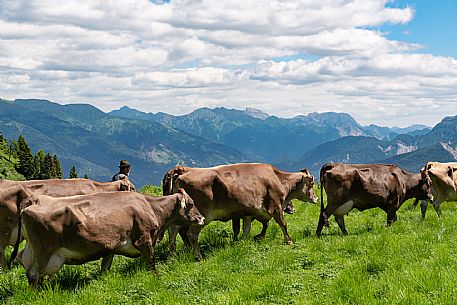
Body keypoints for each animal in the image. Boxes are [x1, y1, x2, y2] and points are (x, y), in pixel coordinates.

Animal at [18, 188, 203, 284]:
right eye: (191, 203)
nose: (201, 218)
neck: (151, 207)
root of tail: (33, 200)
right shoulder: (144, 239)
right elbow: (151, 262)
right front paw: (157, 278)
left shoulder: (110, 247)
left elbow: (105, 268)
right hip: (44, 251)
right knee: (34, 274)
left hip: (31, 249)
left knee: (24, 262)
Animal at [164, 163, 318, 258]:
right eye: (311, 183)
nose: (316, 198)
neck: (278, 179)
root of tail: (180, 172)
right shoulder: (275, 207)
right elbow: (283, 224)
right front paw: (289, 241)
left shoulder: (248, 213)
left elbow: (246, 229)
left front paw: (241, 243)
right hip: (201, 216)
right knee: (190, 234)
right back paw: (199, 256)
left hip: (181, 216)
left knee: (173, 231)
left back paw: (173, 254)